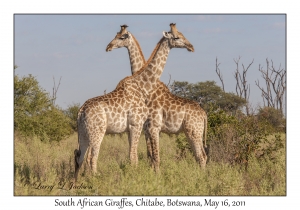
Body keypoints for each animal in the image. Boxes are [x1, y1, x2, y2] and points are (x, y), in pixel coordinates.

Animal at [74, 22, 193, 180]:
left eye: (182, 35)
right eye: (176, 37)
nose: (191, 46)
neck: (143, 85)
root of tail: (80, 111)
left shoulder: (133, 128)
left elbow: (135, 156)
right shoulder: (137, 125)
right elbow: (135, 157)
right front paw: (136, 178)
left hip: (82, 133)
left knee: (79, 157)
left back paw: (76, 183)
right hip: (97, 131)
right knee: (91, 158)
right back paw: (96, 180)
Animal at [106, 24, 209, 171]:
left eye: (121, 37)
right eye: (177, 37)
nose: (108, 46)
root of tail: (204, 114)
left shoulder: (152, 127)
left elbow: (154, 157)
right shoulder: (148, 128)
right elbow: (151, 156)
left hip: (194, 131)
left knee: (201, 156)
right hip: (193, 132)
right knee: (200, 156)